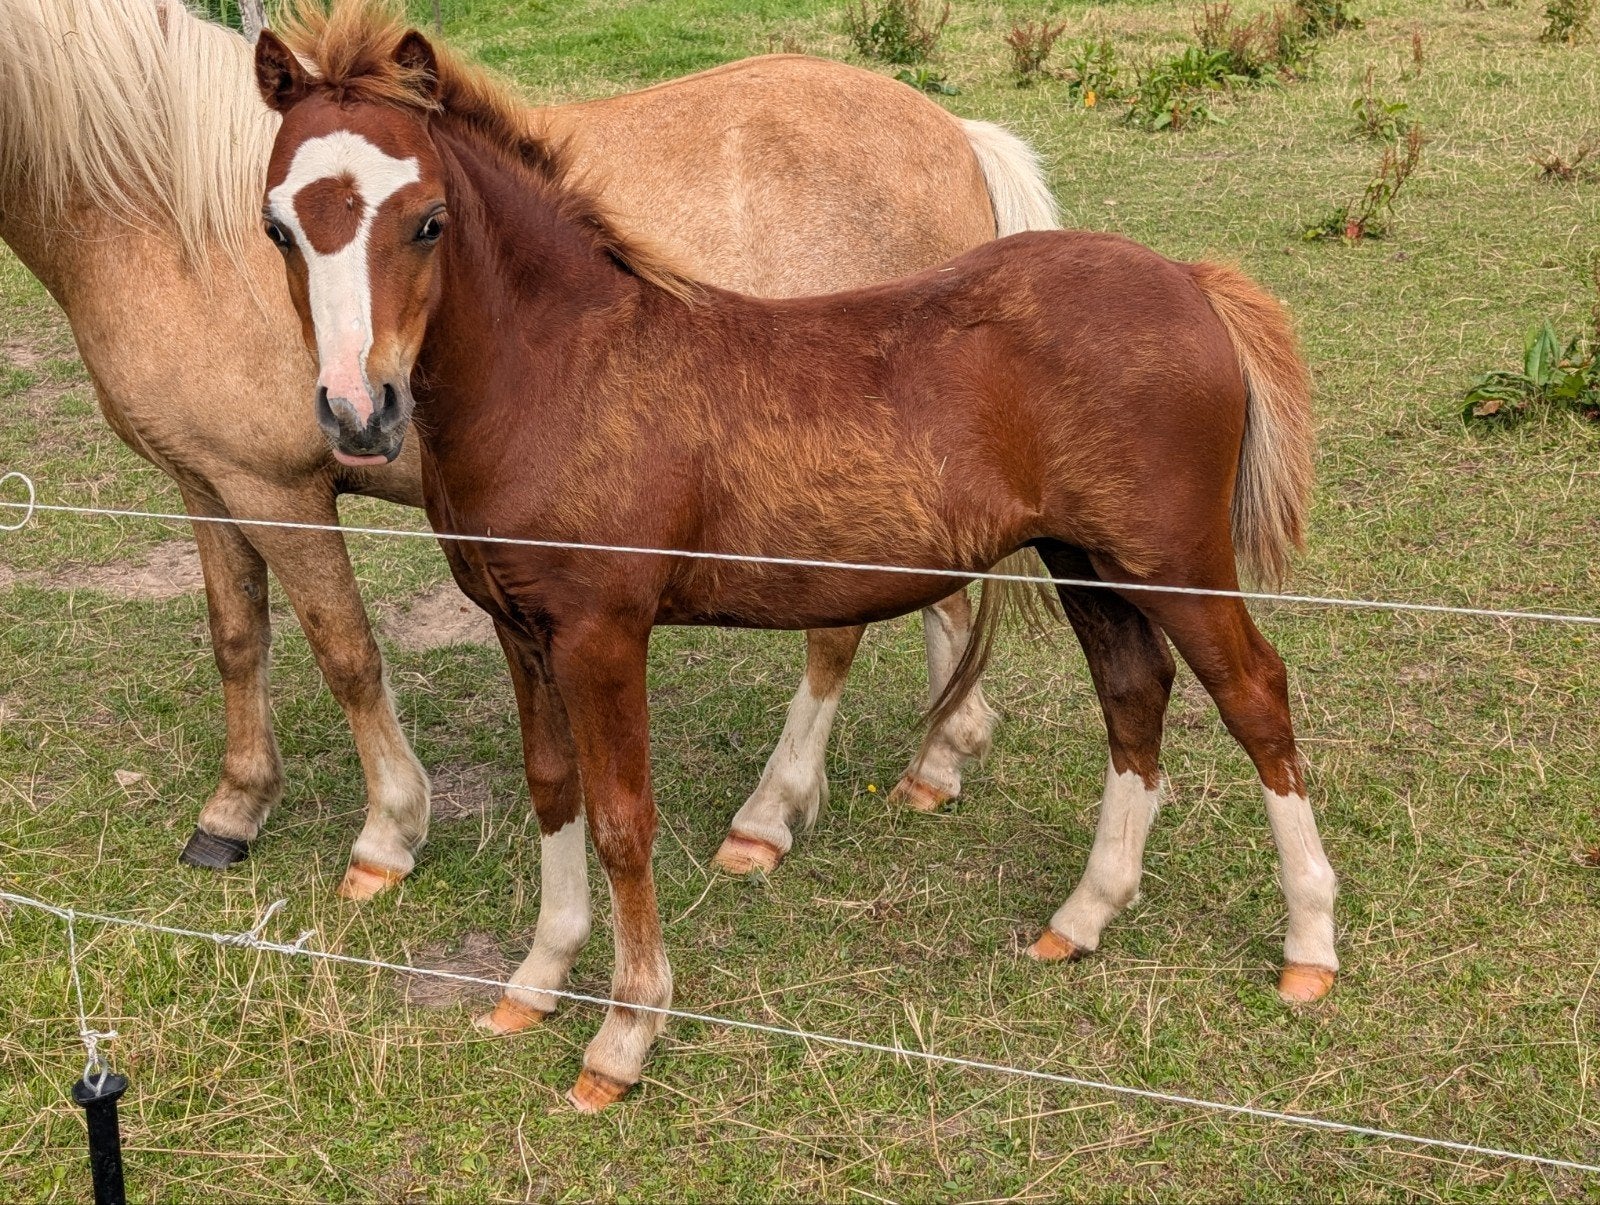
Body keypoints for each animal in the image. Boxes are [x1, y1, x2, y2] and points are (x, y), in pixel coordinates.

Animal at [0, 0, 1059, 897]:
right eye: (276, 228)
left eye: (427, 223)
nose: (360, 409)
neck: (161, 210)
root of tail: (958, 138)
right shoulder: (206, 483)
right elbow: (236, 639)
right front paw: (234, 810)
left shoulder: (278, 489)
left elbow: (346, 654)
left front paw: (388, 832)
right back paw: (941, 756)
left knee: (837, 636)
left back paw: (770, 814)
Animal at [255, 6, 1337, 1111]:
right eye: (278, 227)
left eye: (427, 219)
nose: (359, 413)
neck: (565, 369)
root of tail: (1188, 281)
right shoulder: (522, 629)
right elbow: (553, 791)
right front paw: (535, 980)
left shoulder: (604, 632)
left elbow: (620, 819)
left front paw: (624, 1035)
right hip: (1088, 561)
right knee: (1133, 691)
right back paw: (1081, 917)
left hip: (1173, 560)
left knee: (1255, 694)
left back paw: (1309, 945)